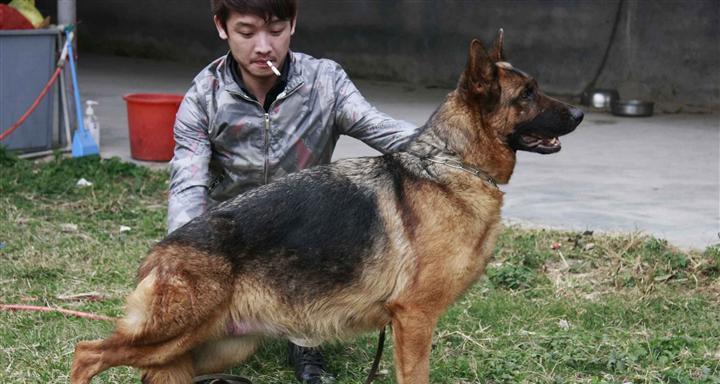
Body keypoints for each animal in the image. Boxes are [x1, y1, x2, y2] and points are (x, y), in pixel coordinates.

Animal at [70, 31, 584, 382]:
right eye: (527, 94)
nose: (580, 114)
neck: (452, 160)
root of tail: (159, 253)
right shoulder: (414, 319)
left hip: (215, 346)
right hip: (170, 335)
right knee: (86, 353)